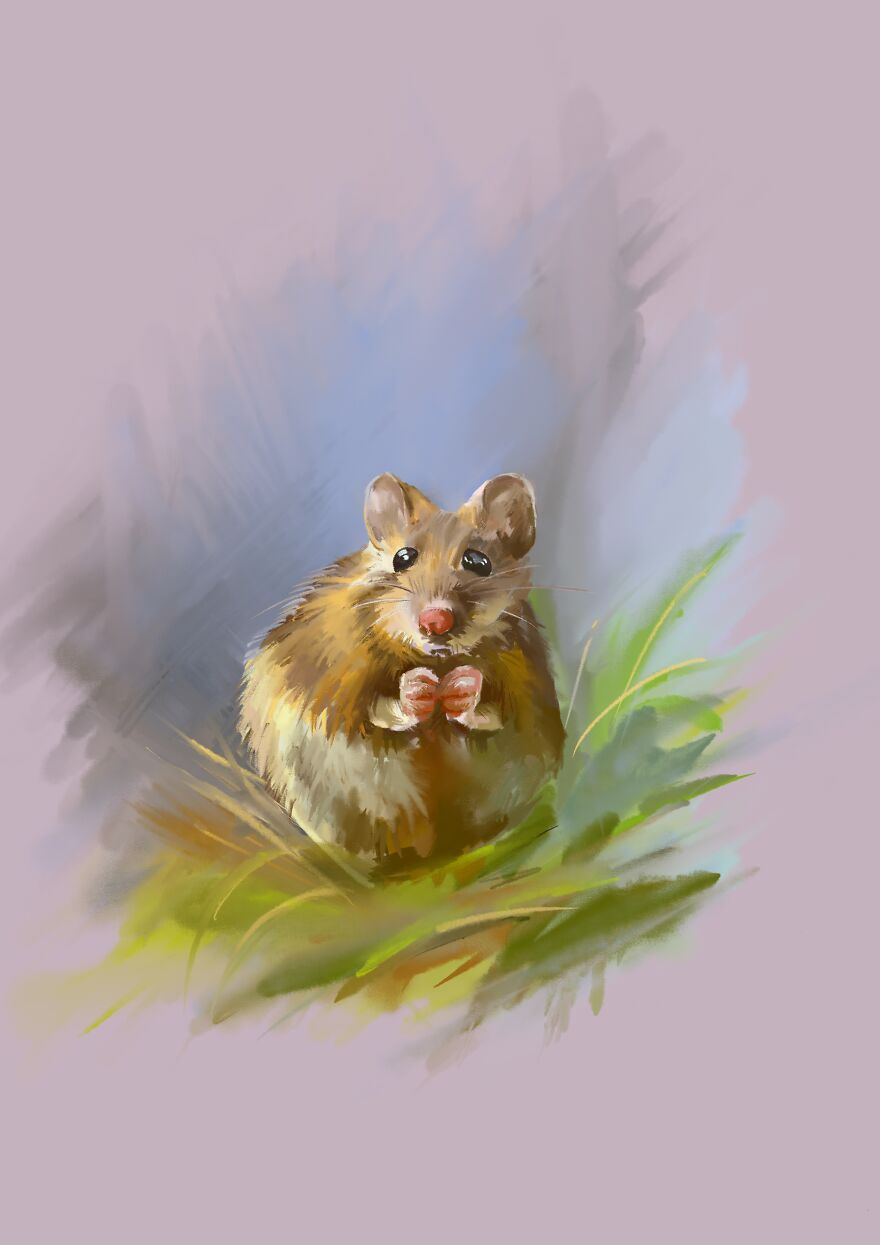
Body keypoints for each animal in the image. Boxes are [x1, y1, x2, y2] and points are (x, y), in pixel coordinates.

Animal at [239, 472, 564, 860]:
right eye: (403, 558)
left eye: (479, 562)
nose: (435, 622)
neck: (436, 660)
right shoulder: (335, 679)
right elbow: (370, 711)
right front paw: (417, 689)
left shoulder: (525, 686)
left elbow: (495, 714)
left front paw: (463, 687)